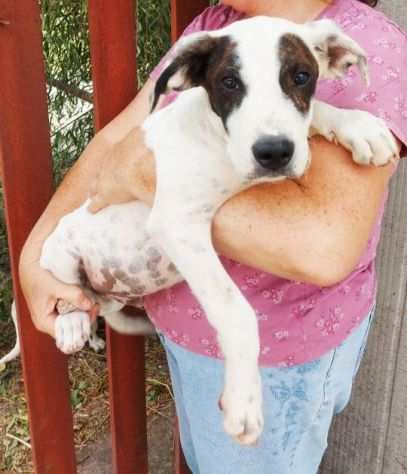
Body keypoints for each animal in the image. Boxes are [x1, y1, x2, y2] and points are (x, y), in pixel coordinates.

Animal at [3, 17, 398, 444]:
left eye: (301, 76)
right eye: (229, 82)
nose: (273, 152)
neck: (217, 141)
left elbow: (311, 117)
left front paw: (357, 126)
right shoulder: (177, 222)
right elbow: (236, 311)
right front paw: (244, 400)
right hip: (60, 248)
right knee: (69, 294)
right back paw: (72, 323)